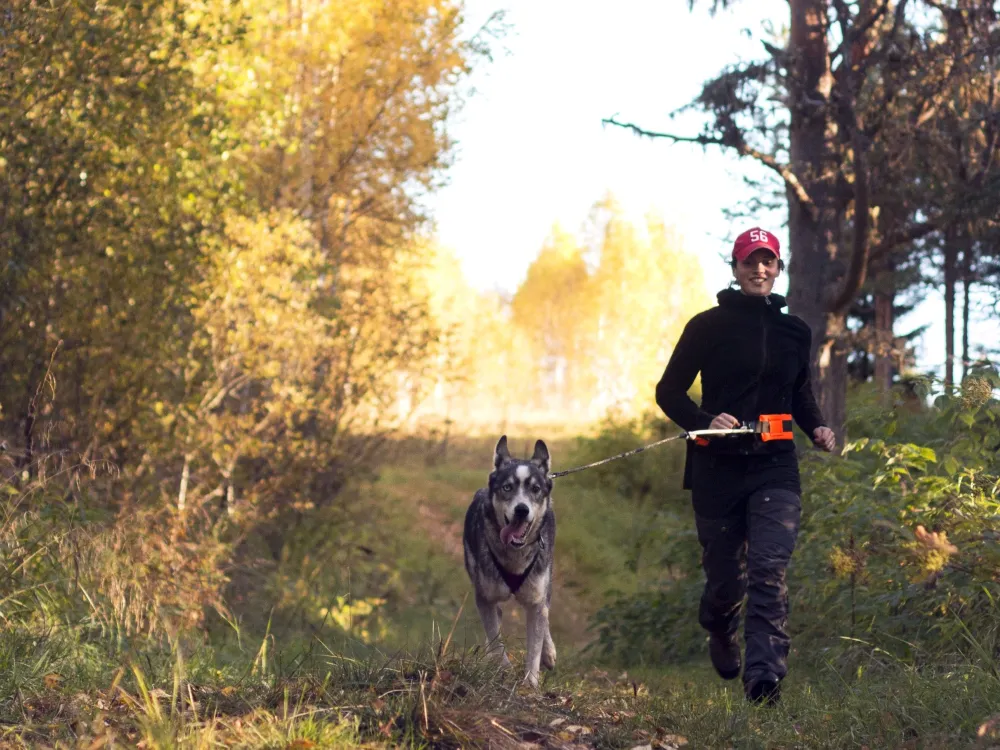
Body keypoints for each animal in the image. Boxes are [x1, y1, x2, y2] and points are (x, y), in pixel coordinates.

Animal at [464, 434, 560, 688]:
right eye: (507, 487)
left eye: (535, 489)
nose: (521, 510)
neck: (514, 556)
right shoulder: (485, 598)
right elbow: (496, 640)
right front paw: (502, 667)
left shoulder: (536, 599)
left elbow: (535, 644)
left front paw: (531, 681)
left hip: (546, 580)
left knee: (546, 612)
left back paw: (549, 652)